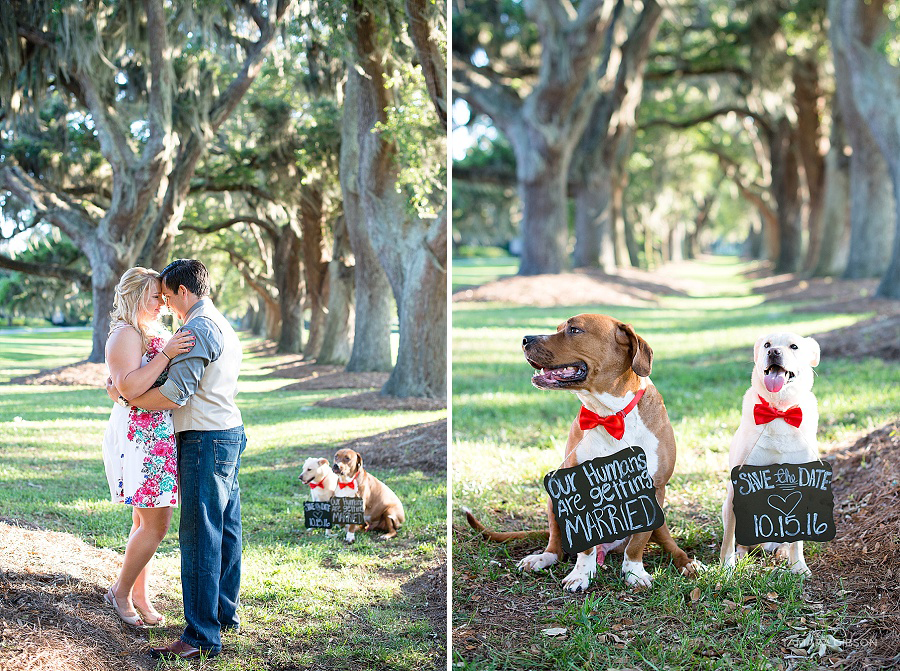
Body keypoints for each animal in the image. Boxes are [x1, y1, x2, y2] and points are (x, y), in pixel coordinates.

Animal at [468, 316, 700, 592]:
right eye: (558, 329)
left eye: (574, 330)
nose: (525, 338)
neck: (609, 414)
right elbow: (585, 544)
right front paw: (582, 574)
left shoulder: (654, 488)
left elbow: (637, 543)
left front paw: (634, 572)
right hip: (553, 503)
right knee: (556, 546)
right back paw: (541, 558)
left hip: (661, 520)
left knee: (668, 544)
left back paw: (688, 563)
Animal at [720, 334, 820, 576]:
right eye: (767, 344)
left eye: (794, 346)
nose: (773, 352)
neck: (779, 411)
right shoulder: (736, 489)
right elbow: (728, 540)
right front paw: (726, 568)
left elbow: (797, 542)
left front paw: (799, 566)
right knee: (740, 540)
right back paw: (741, 554)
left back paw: (782, 552)